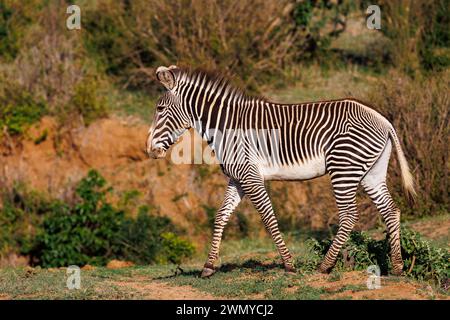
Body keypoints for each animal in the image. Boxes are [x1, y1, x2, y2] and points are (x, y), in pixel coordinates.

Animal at [146, 65, 416, 278]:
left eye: (159, 109)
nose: (149, 150)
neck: (226, 127)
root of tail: (383, 120)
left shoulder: (250, 175)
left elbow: (268, 218)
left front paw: (288, 264)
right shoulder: (237, 178)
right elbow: (221, 216)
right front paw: (209, 266)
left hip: (343, 167)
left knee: (349, 215)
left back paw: (325, 266)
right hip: (372, 172)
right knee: (391, 210)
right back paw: (397, 267)